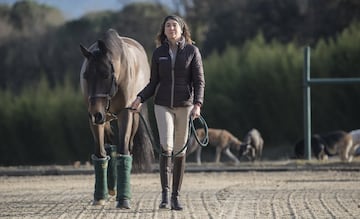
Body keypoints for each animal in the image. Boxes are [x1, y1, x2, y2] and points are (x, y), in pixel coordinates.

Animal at [80, 28, 153, 208]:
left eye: (106, 74)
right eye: (86, 75)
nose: (95, 113)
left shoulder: (125, 114)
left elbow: (123, 150)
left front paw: (124, 199)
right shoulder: (96, 119)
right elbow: (100, 152)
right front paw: (100, 196)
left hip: (131, 118)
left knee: (127, 146)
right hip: (105, 118)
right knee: (110, 146)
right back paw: (111, 189)